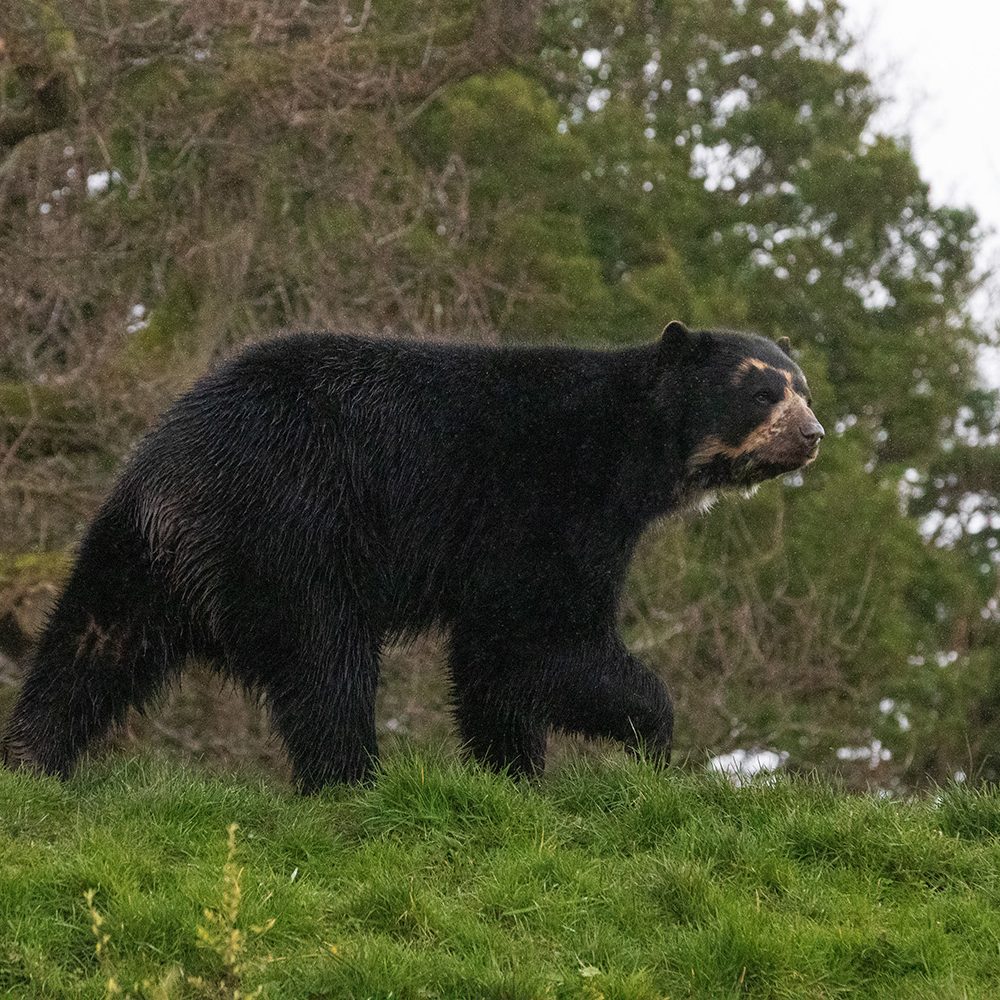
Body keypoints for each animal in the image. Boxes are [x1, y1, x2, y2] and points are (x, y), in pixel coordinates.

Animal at [1, 320, 820, 788]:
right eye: (761, 391)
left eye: (804, 387)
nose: (812, 435)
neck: (630, 448)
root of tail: (172, 483)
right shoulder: (546, 500)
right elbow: (539, 636)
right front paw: (650, 732)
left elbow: (495, 658)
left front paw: (513, 774)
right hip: (290, 531)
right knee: (326, 661)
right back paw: (352, 780)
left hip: (130, 552)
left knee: (90, 644)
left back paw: (32, 760)